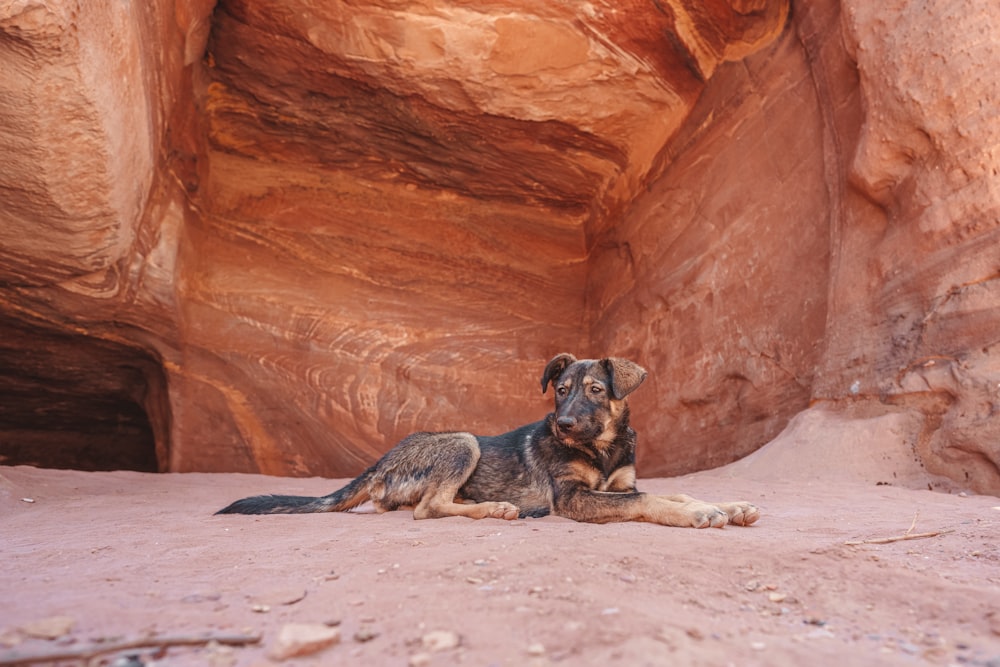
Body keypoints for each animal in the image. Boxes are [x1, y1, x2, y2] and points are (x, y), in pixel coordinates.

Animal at [219, 352, 760, 528]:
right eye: (560, 390)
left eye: (595, 391)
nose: (561, 424)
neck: (601, 448)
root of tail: (381, 461)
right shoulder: (575, 498)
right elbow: (650, 502)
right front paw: (697, 515)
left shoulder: (621, 483)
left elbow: (672, 490)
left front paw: (729, 505)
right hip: (462, 442)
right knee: (427, 509)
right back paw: (496, 509)